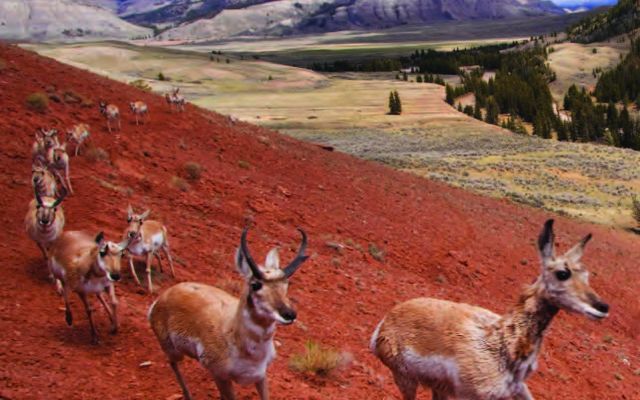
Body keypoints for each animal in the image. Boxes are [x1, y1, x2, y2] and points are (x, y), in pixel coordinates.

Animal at [148, 228, 309, 400]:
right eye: (255, 284)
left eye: (287, 283)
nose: (289, 314)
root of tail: (164, 296)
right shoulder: (220, 376)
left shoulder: (261, 376)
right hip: (174, 351)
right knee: (172, 363)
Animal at [370, 219, 610, 400]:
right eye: (563, 273)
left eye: (587, 275)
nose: (602, 307)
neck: (502, 342)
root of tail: (388, 319)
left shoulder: (519, 389)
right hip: (406, 380)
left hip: (438, 389)